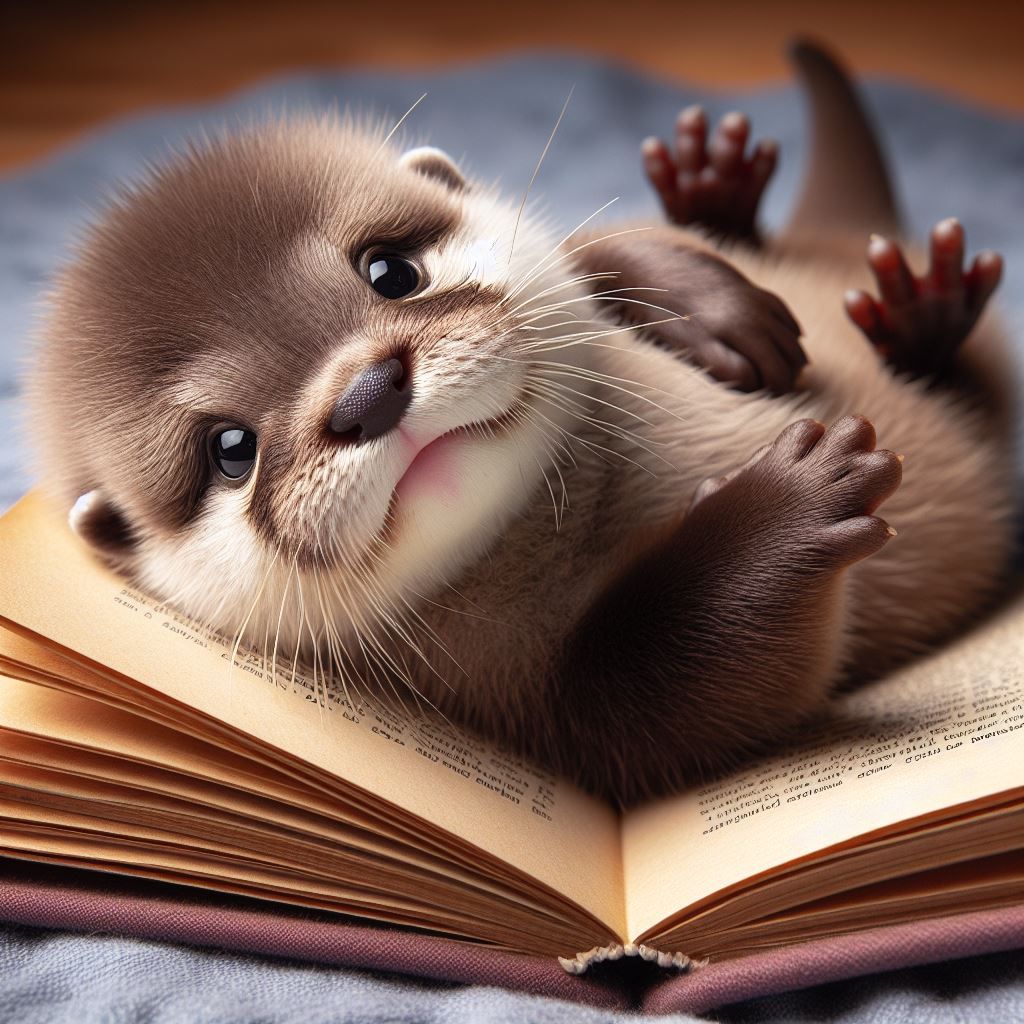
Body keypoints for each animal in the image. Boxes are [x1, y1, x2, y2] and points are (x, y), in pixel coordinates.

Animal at [28, 42, 1016, 805]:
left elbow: (581, 248)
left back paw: (727, 195)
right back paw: (919, 315)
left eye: (390, 271)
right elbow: (688, 686)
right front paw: (793, 505)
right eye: (230, 450)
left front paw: (709, 306)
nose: (368, 393)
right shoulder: (541, 709)